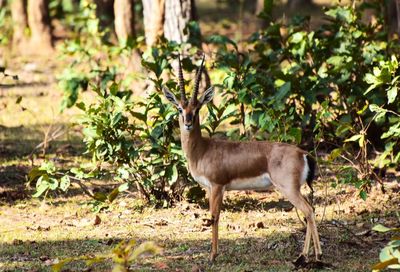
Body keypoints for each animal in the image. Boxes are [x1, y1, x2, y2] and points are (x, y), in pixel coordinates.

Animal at [162, 54, 322, 266]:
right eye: (180, 108)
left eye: (197, 109)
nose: (188, 123)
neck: (203, 149)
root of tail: (302, 153)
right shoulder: (210, 188)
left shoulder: (217, 186)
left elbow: (214, 216)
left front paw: (212, 256)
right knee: (310, 210)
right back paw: (308, 256)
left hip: (288, 189)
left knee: (309, 211)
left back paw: (312, 256)